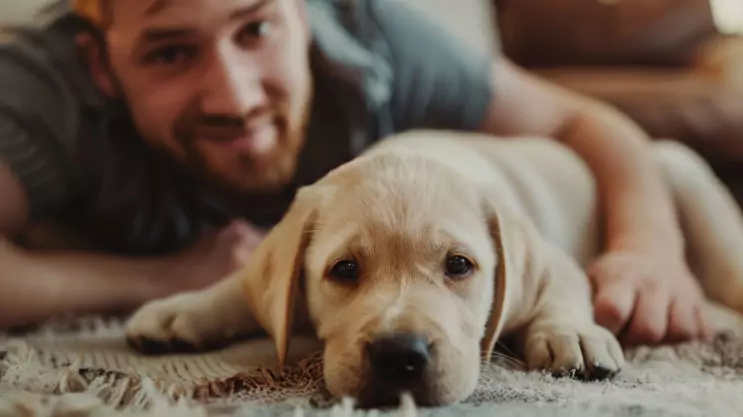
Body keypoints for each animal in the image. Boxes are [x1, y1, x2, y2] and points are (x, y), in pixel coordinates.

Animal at [125, 130, 743, 406]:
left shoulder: (559, 260)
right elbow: (242, 286)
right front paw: (179, 311)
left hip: (681, 173)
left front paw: (573, 334)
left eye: (460, 266)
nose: (401, 355)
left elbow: (561, 293)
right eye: (344, 270)